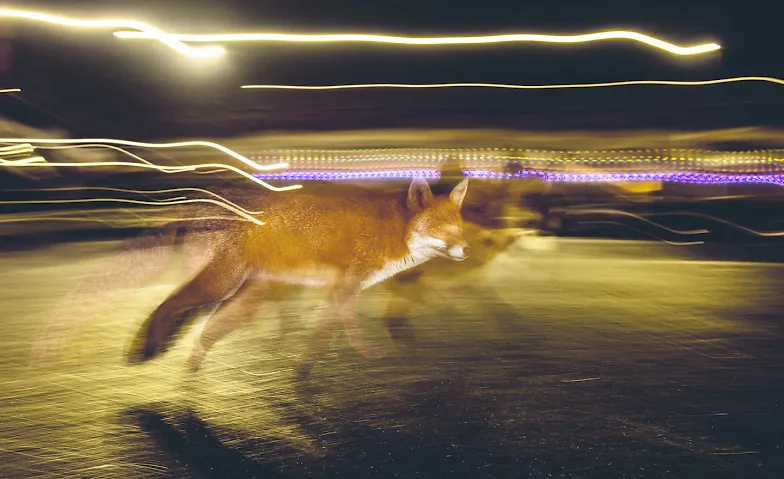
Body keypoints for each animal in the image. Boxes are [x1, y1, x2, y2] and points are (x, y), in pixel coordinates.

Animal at [124, 177, 470, 379]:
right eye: (442, 230)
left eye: (459, 228)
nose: (467, 249)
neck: (394, 231)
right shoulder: (346, 288)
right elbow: (349, 332)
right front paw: (366, 354)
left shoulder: (336, 291)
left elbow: (319, 337)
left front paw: (302, 372)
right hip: (220, 286)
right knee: (167, 305)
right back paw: (149, 347)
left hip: (242, 296)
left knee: (204, 331)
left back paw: (188, 370)